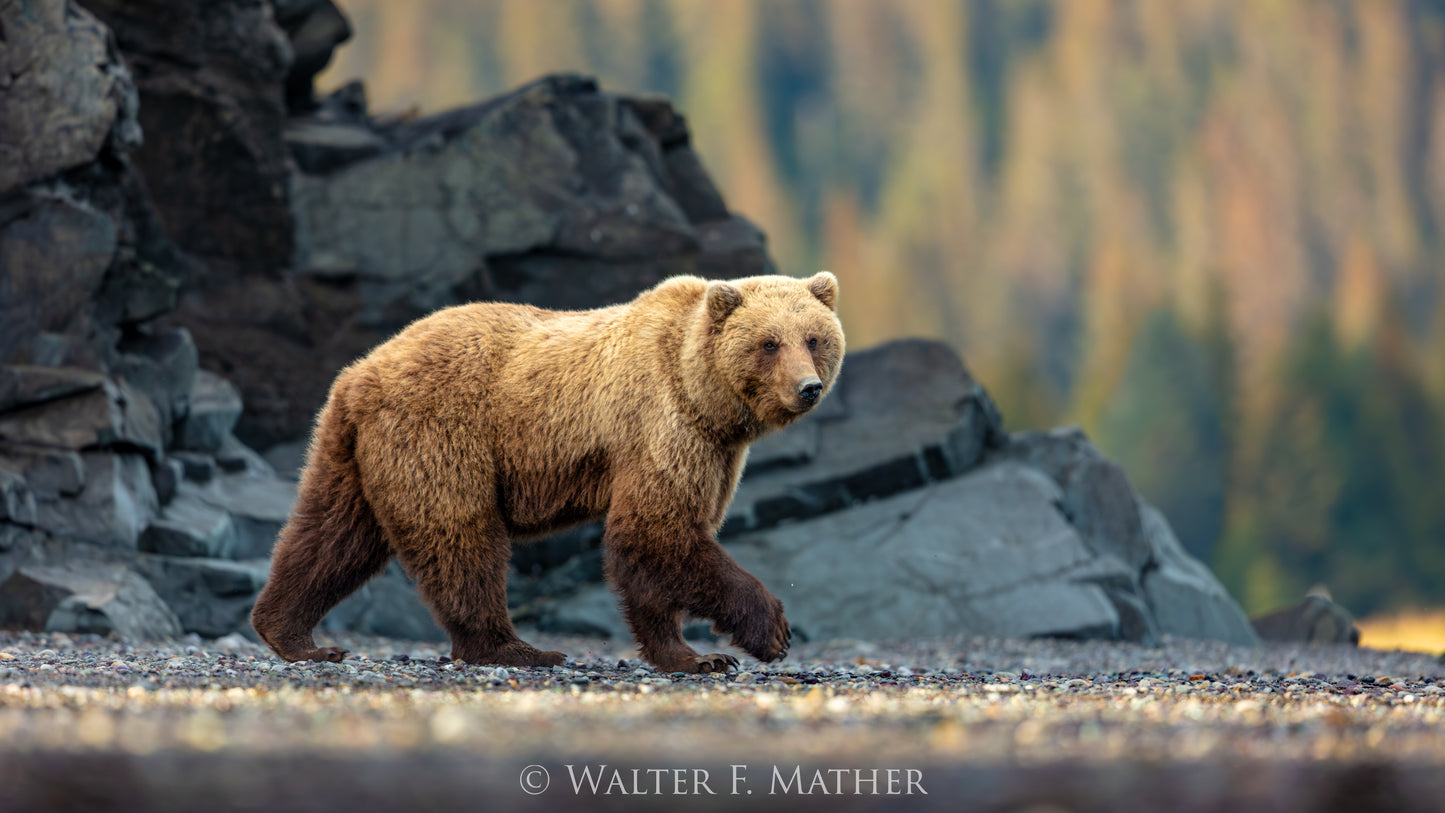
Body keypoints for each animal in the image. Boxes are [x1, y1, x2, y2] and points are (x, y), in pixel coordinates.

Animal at [252, 272, 843, 675]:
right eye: (769, 342)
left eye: (814, 338)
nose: (808, 388)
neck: (706, 396)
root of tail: (361, 372)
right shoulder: (661, 424)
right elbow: (654, 531)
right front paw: (768, 633)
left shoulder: (714, 453)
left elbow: (657, 548)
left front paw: (689, 654)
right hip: (439, 434)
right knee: (460, 539)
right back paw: (517, 648)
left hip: (352, 452)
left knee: (332, 536)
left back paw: (293, 634)